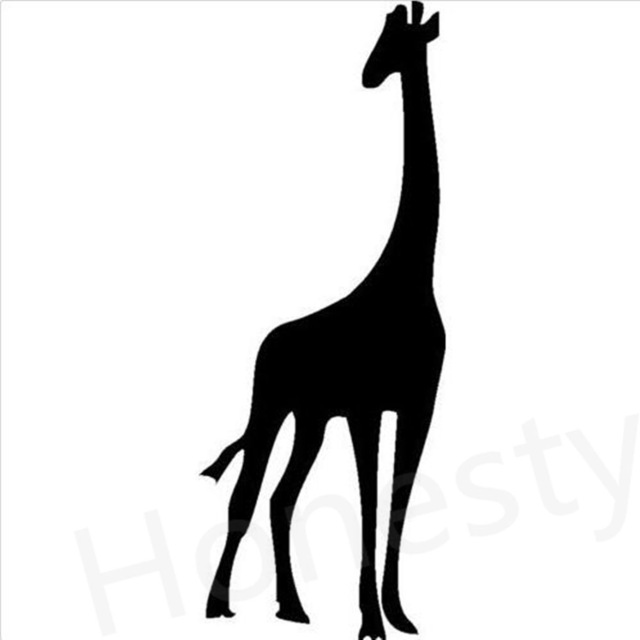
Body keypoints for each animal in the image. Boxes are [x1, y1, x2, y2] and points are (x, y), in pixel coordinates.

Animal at [202, 3, 444, 639]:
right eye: (382, 33)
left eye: (398, 38)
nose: (368, 75)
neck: (410, 279)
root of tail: (268, 341)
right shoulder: (365, 405)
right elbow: (368, 500)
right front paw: (370, 622)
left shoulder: (417, 403)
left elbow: (398, 498)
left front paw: (398, 615)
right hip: (270, 404)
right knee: (245, 494)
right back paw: (217, 604)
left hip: (310, 418)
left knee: (280, 497)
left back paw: (292, 607)